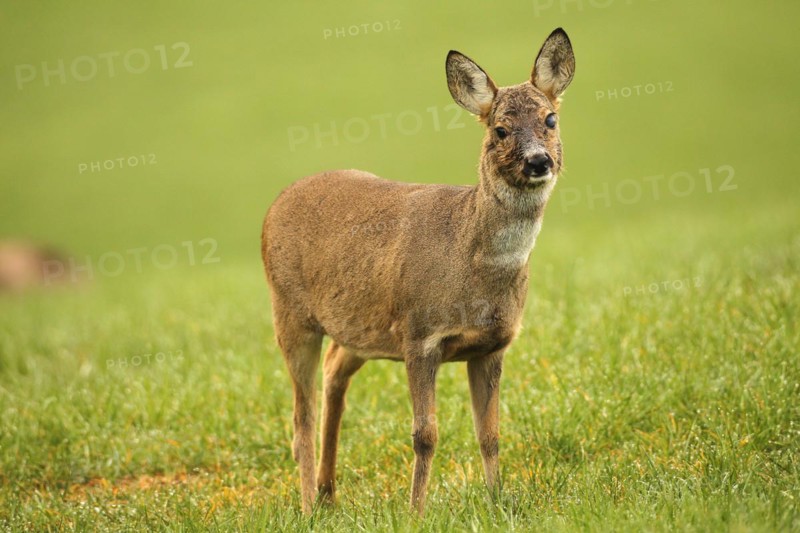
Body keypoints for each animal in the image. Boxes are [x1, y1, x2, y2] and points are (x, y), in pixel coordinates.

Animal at [261, 28, 575, 515]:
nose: (538, 161)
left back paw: (330, 494)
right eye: (500, 129)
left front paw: (497, 501)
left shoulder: (492, 345)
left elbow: (490, 435)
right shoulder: (419, 335)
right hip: (290, 313)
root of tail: (275, 205)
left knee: (334, 374)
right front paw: (416, 511)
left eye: (550, 119)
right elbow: (425, 435)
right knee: (300, 416)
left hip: (359, 329)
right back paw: (310, 505)